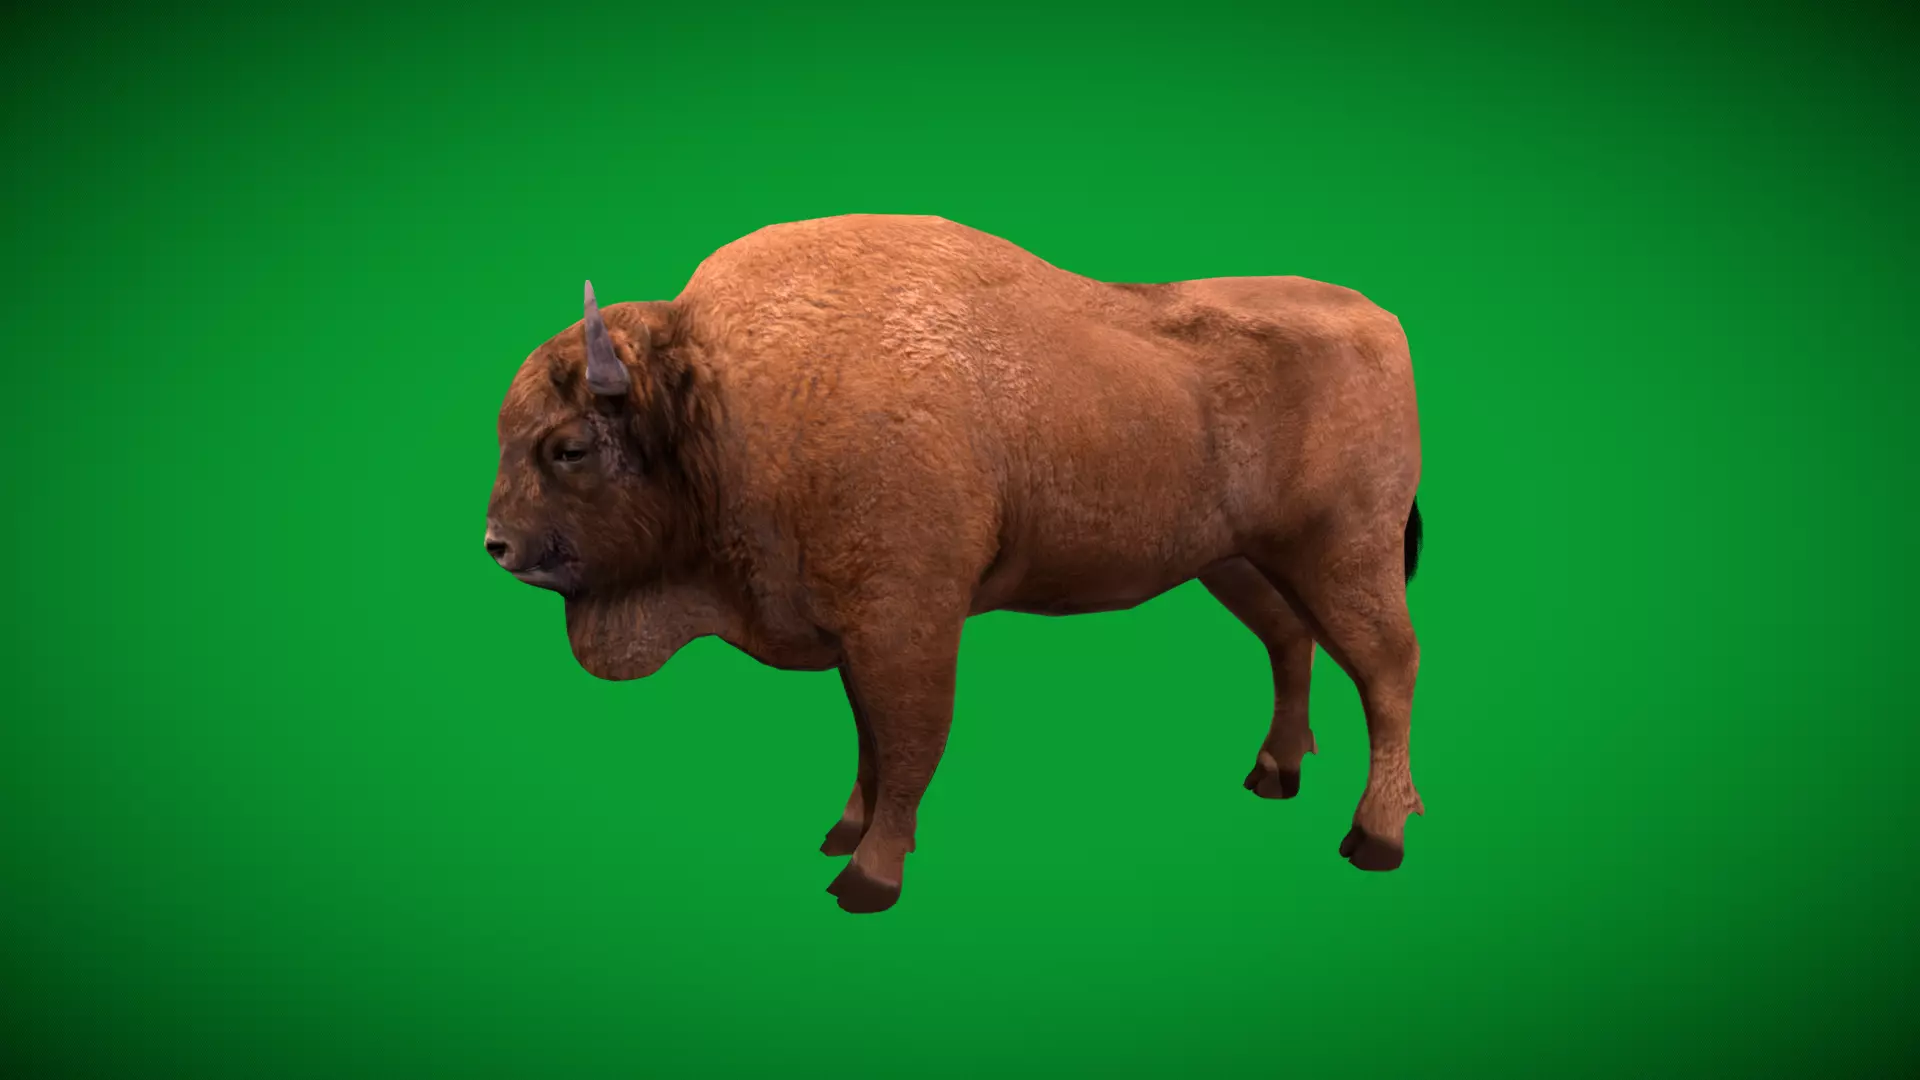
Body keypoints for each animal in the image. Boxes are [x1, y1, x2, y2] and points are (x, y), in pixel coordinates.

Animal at [484, 214, 1426, 913]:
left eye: (569, 448)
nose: (497, 546)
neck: (720, 403)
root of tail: (1381, 319)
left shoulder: (907, 622)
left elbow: (908, 742)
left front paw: (867, 875)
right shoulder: (853, 626)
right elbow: (868, 739)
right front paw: (844, 830)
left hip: (1347, 554)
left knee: (1387, 668)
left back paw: (1376, 836)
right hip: (1240, 562)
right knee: (1291, 642)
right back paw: (1276, 773)